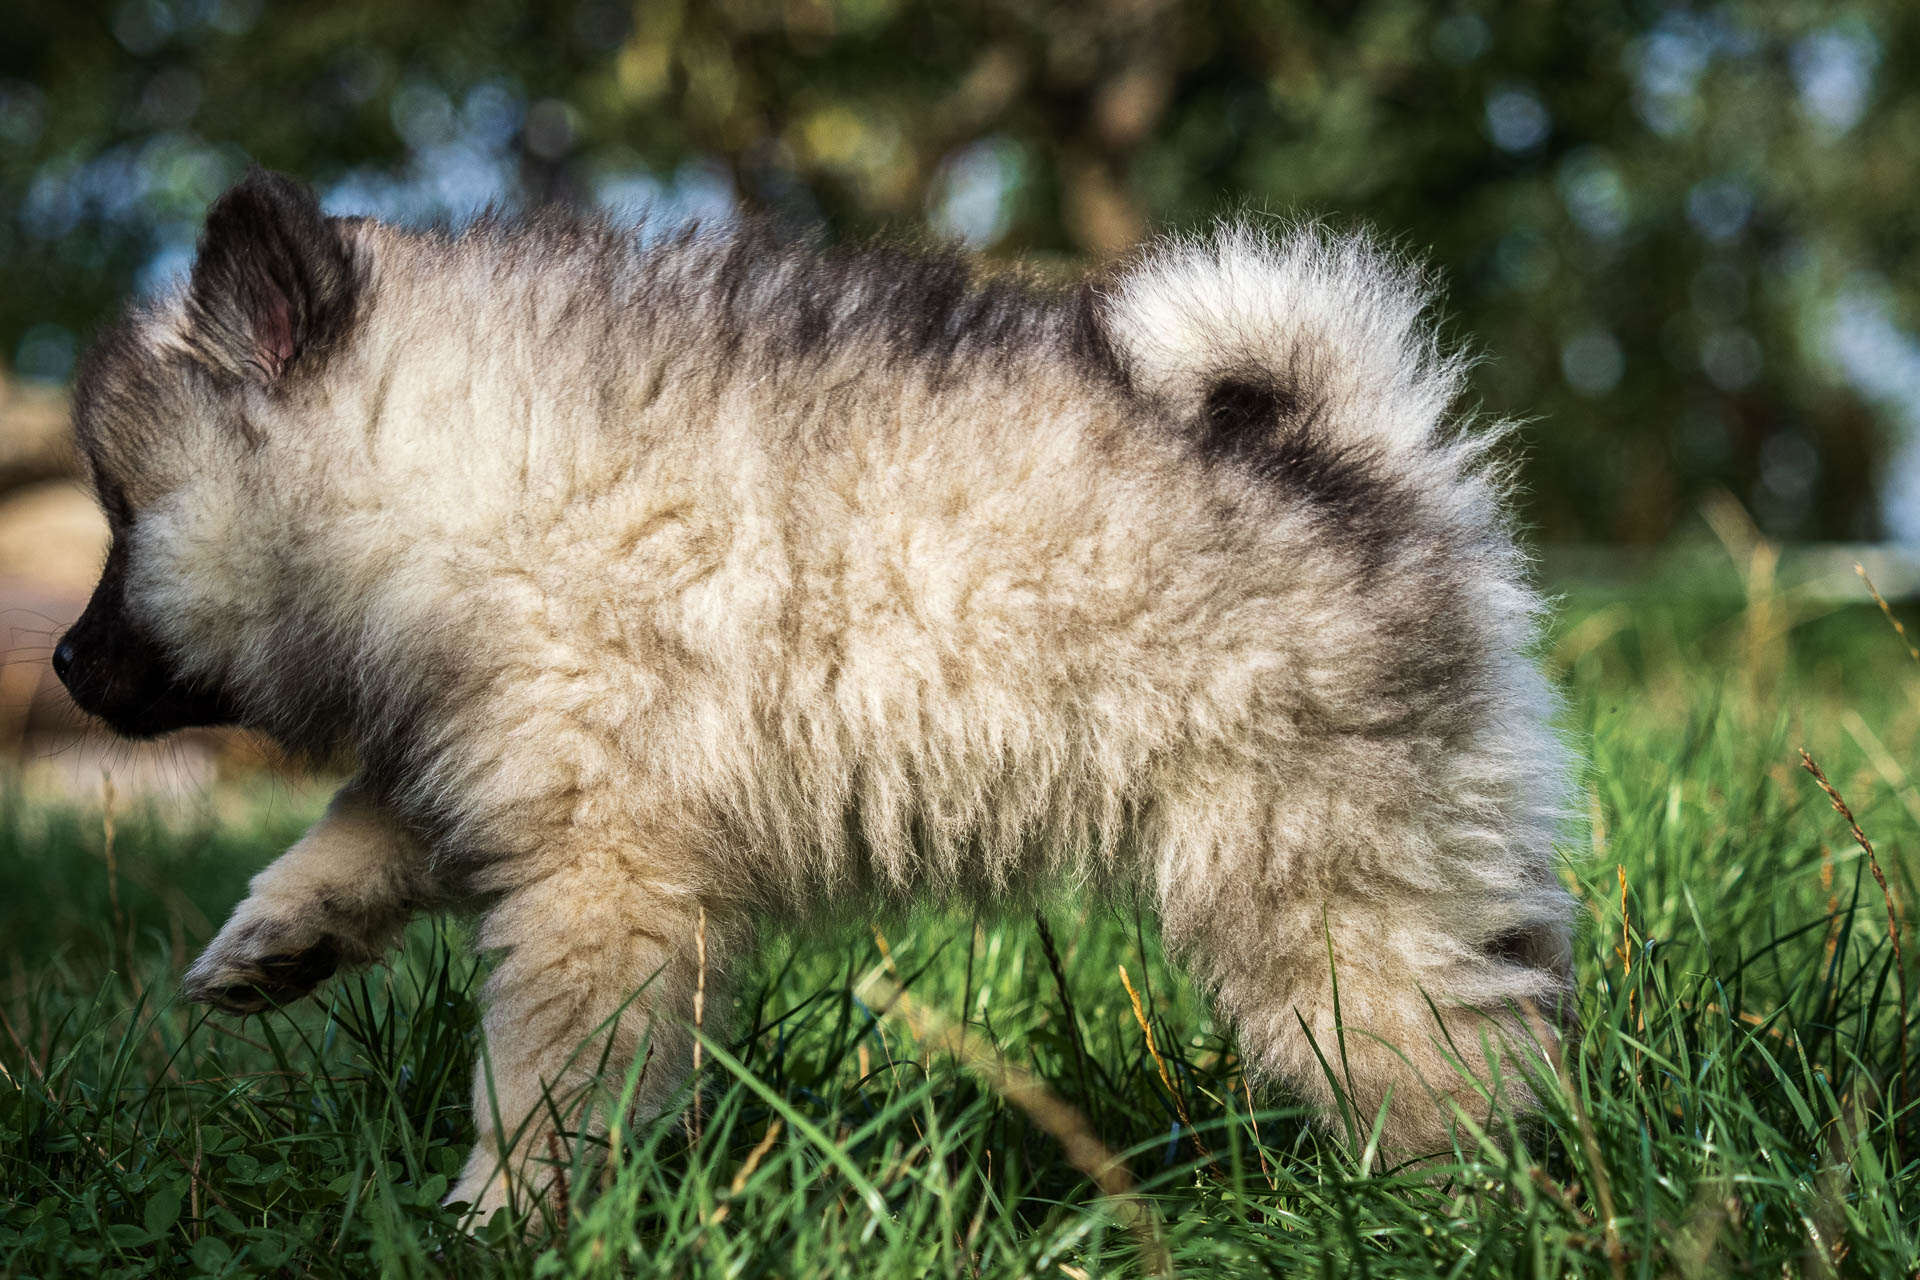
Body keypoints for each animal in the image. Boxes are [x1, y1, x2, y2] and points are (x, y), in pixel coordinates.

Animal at [52, 169, 1574, 1220]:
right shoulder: (506, 758)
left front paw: (503, 1216)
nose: (62, 663)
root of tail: (1366, 465)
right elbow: (374, 824)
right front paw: (275, 934)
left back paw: (1453, 1208)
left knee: (1443, 1056)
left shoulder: (604, 861)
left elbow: (547, 1067)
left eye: (122, 519)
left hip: (1312, 885)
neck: (467, 475)